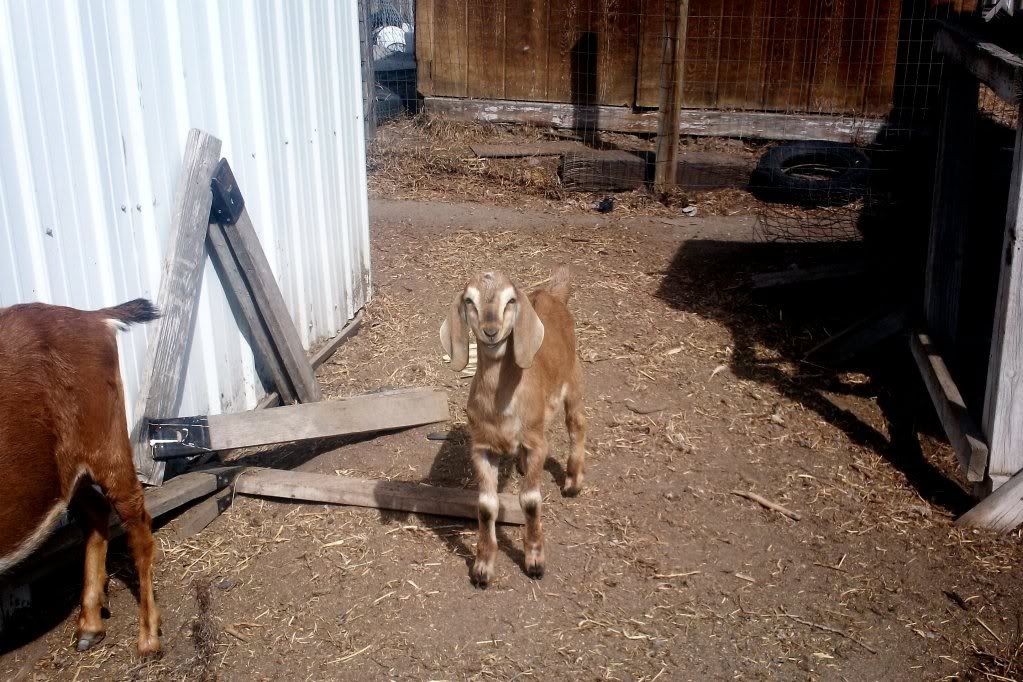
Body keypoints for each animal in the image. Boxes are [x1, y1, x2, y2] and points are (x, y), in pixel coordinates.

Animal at [0, 299, 161, 655]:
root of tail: (94, 317)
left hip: (106, 438)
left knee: (136, 521)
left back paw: (148, 638)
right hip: (71, 468)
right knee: (96, 512)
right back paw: (90, 625)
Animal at [440, 267, 586, 587]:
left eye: (510, 301)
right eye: (469, 300)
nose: (490, 331)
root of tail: (552, 293)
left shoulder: (536, 441)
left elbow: (530, 502)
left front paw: (535, 562)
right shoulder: (481, 447)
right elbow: (485, 506)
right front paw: (482, 568)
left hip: (573, 377)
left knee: (577, 424)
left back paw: (573, 482)